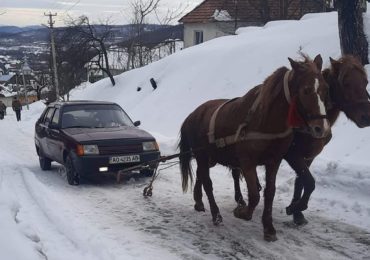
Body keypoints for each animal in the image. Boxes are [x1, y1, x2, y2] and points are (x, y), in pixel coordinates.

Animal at [179, 54, 330, 242]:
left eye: (326, 88)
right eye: (306, 90)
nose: (321, 129)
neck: (264, 120)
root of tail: (192, 115)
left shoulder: (274, 161)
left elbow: (269, 193)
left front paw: (269, 227)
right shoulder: (247, 162)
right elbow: (254, 195)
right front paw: (242, 212)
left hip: (210, 158)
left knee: (201, 175)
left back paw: (199, 202)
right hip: (202, 155)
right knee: (207, 182)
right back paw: (216, 214)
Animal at [231, 55, 370, 225]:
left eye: (366, 82)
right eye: (346, 83)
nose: (366, 117)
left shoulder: (309, 156)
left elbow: (301, 181)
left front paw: (296, 211)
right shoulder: (292, 155)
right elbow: (309, 182)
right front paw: (296, 207)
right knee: (236, 171)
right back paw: (240, 198)